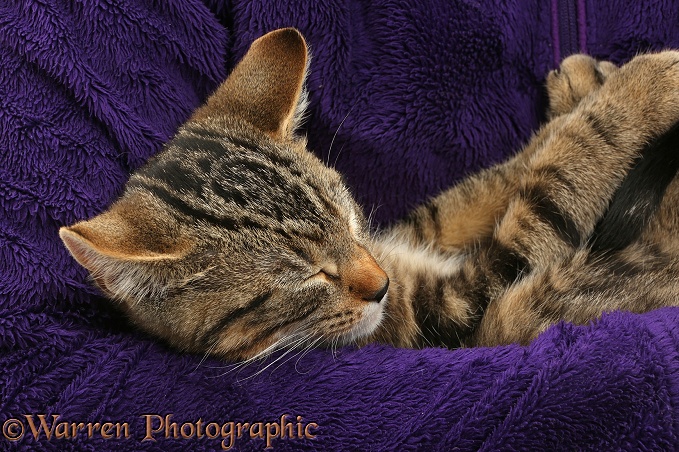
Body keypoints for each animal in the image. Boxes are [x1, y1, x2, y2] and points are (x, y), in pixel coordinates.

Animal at [59, 27, 679, 360]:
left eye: (350, 219)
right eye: (306, 278)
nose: (378, 285)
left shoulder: (414, 234)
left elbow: (495, 182)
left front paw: (581, 84)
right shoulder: (458, 310)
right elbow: (558, 176)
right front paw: (647, 83)